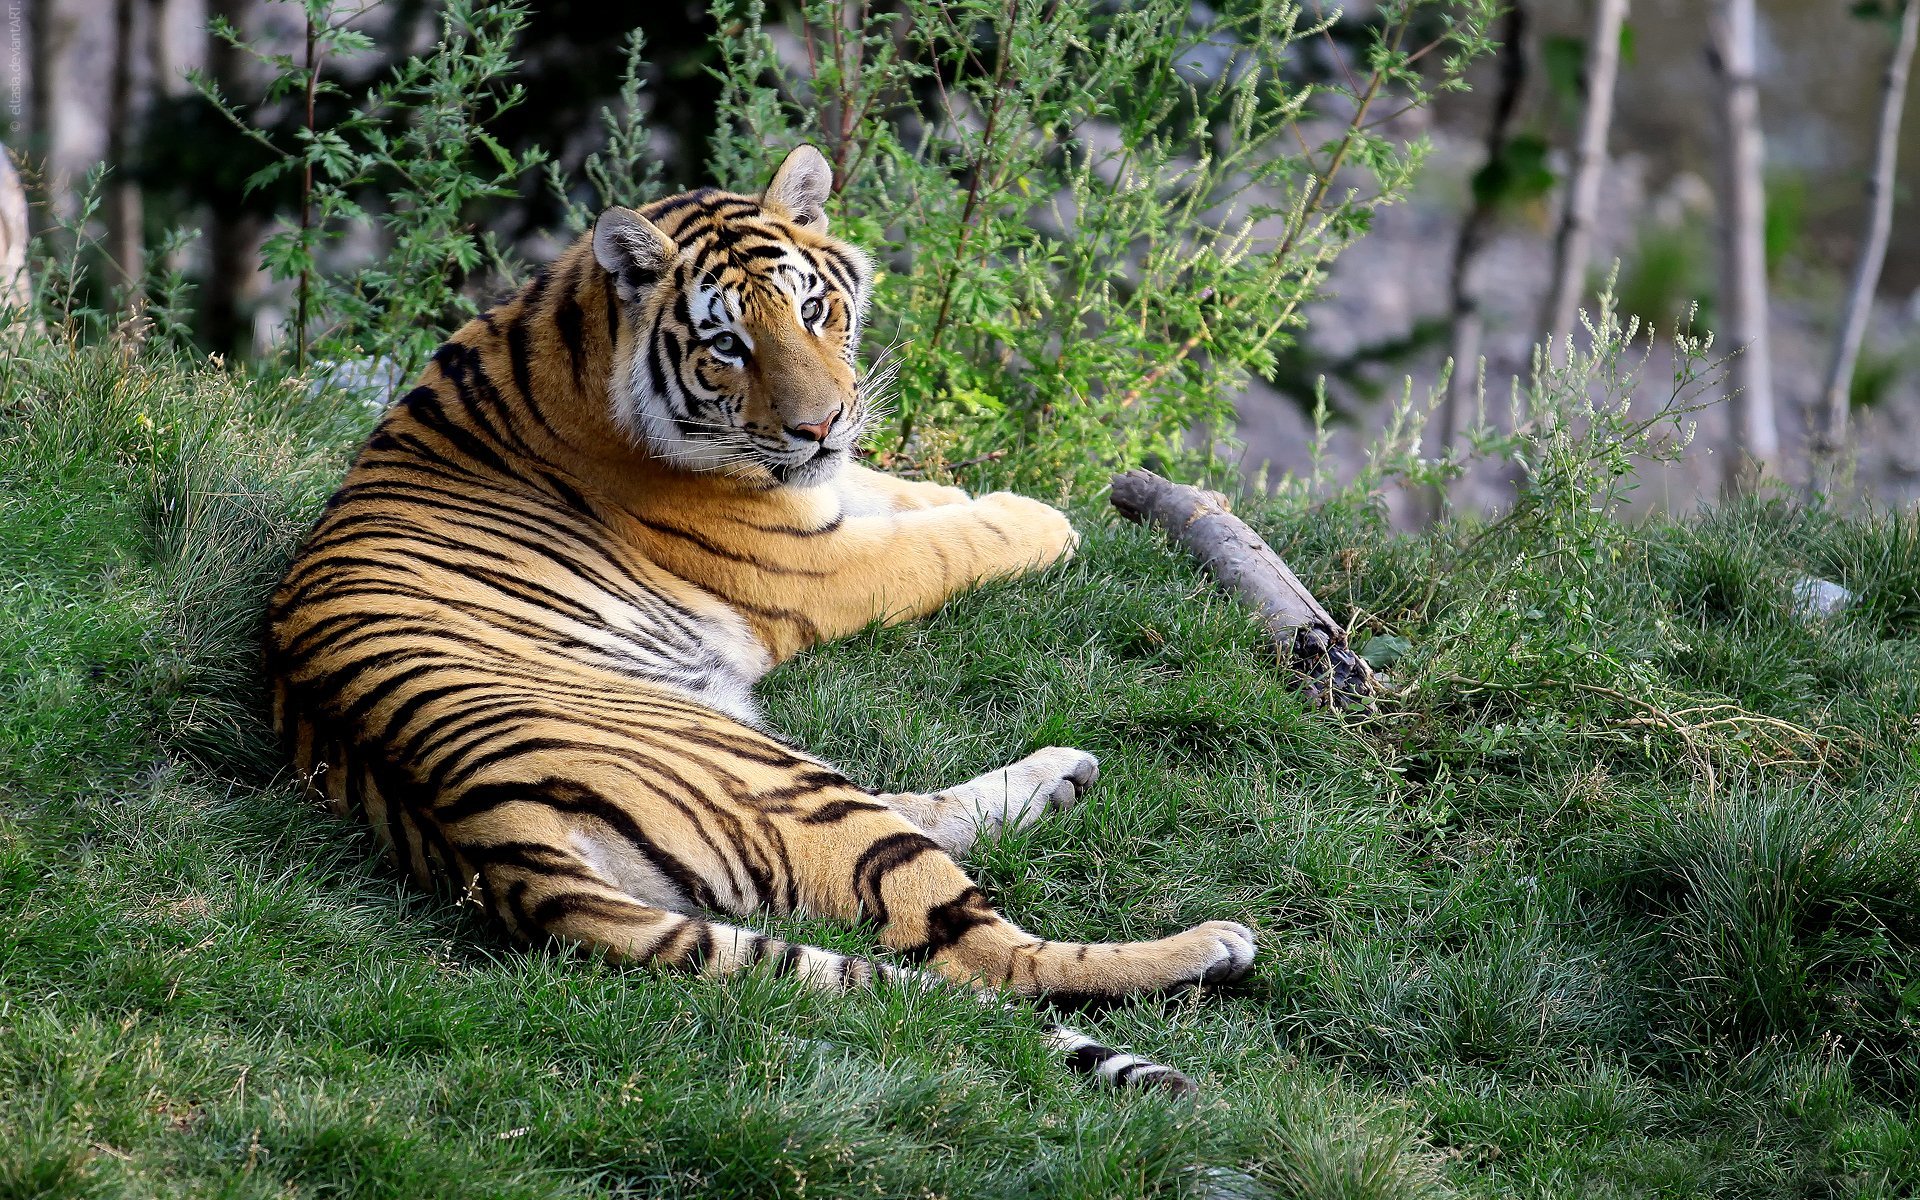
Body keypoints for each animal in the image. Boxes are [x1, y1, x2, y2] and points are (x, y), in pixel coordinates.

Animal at [270, 144, 1259, 1090]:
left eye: (815, 308)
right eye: (728, 345)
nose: (820, 426)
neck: (574, 334)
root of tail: (488, 840)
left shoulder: (823, 495)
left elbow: (898, 491)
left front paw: (955, 489)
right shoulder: (816, 564)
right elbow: (945, 543)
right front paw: (1041, 519)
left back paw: (1061, 777)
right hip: (779, 780)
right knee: (985, 955)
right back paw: (1207, 946)